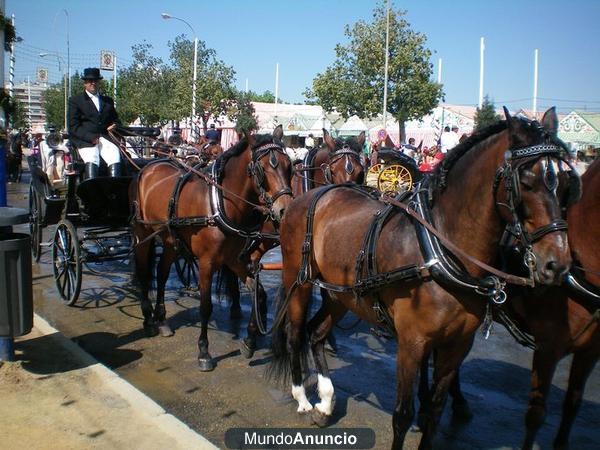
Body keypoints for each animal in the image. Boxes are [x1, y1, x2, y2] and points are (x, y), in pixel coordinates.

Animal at [131, 125, 292, 370]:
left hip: (171, 241)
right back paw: (149, 319)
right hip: (143, 235)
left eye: (289, 165)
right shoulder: (207, 262)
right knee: (143, 272)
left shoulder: (236, 259)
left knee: (161, 273)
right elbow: (206, 306)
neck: (221, 202)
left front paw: (249, 341)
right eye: (262, 169)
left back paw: (162, 320)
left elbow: (259, 294)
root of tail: (149, 166)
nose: (286, 210)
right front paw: (204, 351)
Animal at [270, 109, 576, 450]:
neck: (440, 247)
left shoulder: (457, 345)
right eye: (526, 181)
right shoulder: (412, 343)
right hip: (299, 282)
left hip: (342, 295)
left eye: (566, 183)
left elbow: (435, 411)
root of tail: (310, 196)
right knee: (295, 333)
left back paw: (324, 401)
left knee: (316, 334)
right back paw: (302, 397)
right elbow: (403, 414)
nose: (557, 263)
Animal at [434, 156, 596, 448]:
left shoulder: (590, 351)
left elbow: (573, 403)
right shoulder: (548, 348)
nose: (557, 265)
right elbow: (536, 414)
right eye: (527, 186)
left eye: (566, 190)